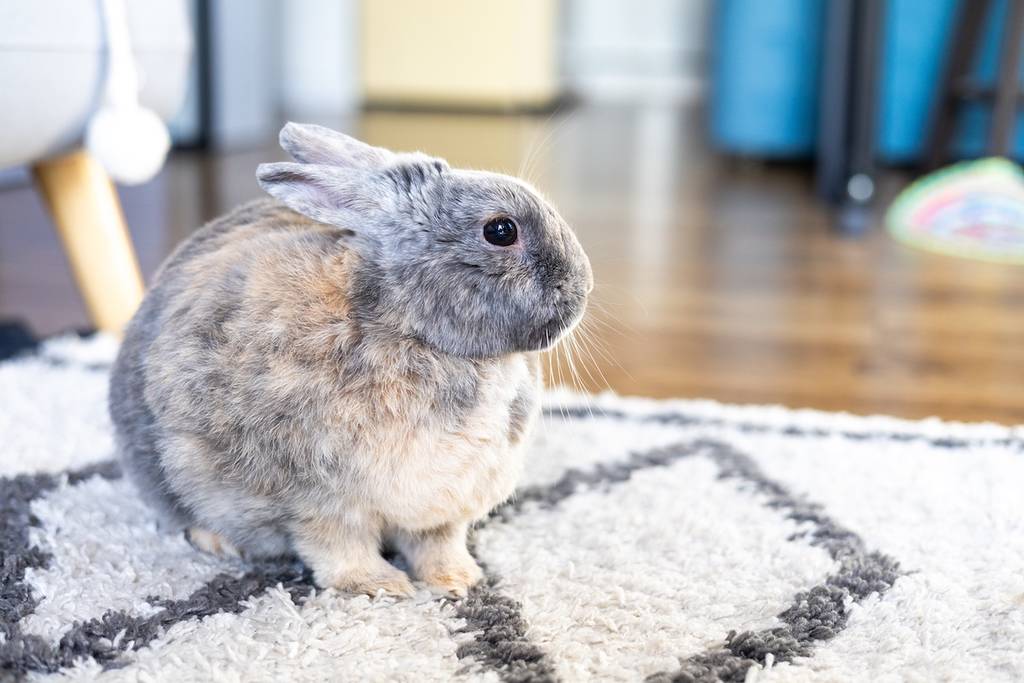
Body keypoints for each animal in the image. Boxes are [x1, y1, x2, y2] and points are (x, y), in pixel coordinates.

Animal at [108, 122, 593, 597]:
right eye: (501, 231)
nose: (583, 286)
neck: (408, 325)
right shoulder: (317, 502)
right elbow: (339, 549)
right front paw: (382, 586)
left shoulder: (443, 507)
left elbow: (437, 544)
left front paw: (458, 581)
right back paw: (220, 542)